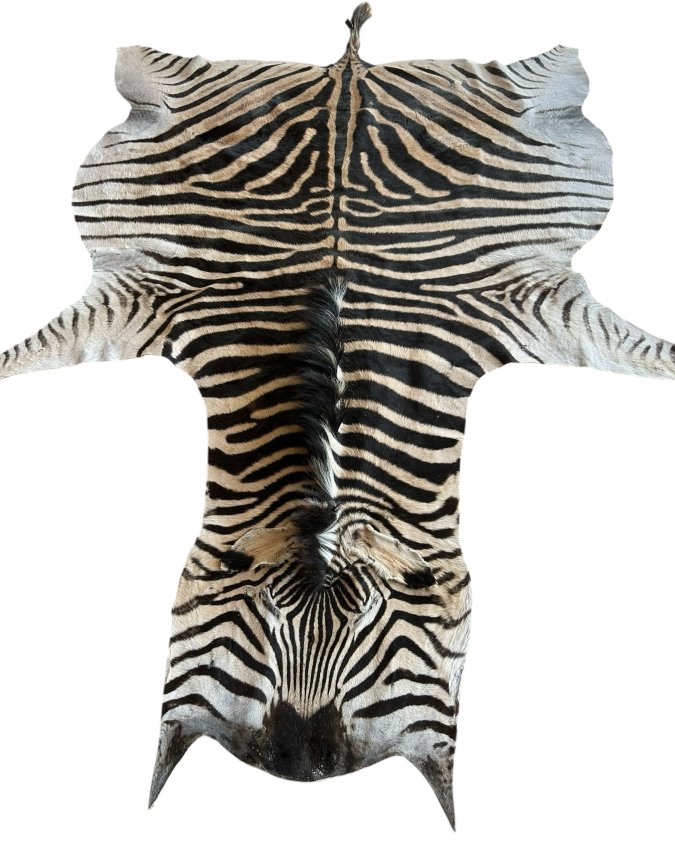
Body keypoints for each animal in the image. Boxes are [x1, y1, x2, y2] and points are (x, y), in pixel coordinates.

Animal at [0, 2, 673, 829]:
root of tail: (346, 72)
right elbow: (35, 348)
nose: (301, 769)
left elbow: (635, 349)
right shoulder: (149, 298)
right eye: (263, 626)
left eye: (369, 635)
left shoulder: (526, 304)